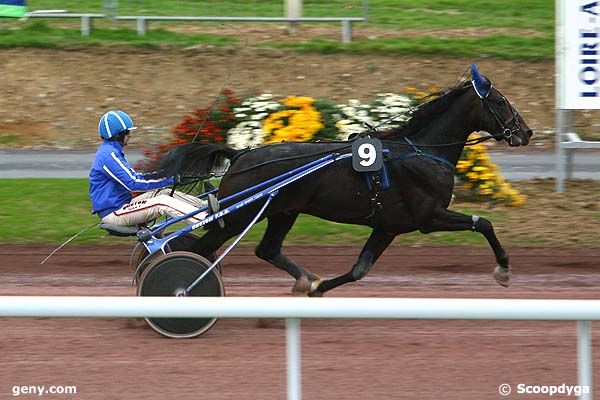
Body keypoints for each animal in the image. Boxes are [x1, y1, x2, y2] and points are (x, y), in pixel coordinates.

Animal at [157, 65, 532, 296]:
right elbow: (483, 223)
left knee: (267, 249)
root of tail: (240, 155)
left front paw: (318, 287)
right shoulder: (429, 217)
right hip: (239, 216)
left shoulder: (389, 226)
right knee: (197, 249)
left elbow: (359, 269)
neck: (423, 151)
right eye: (501, 101)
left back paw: (304, 279)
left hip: (283, 211)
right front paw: (503, 271)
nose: (526, 132)